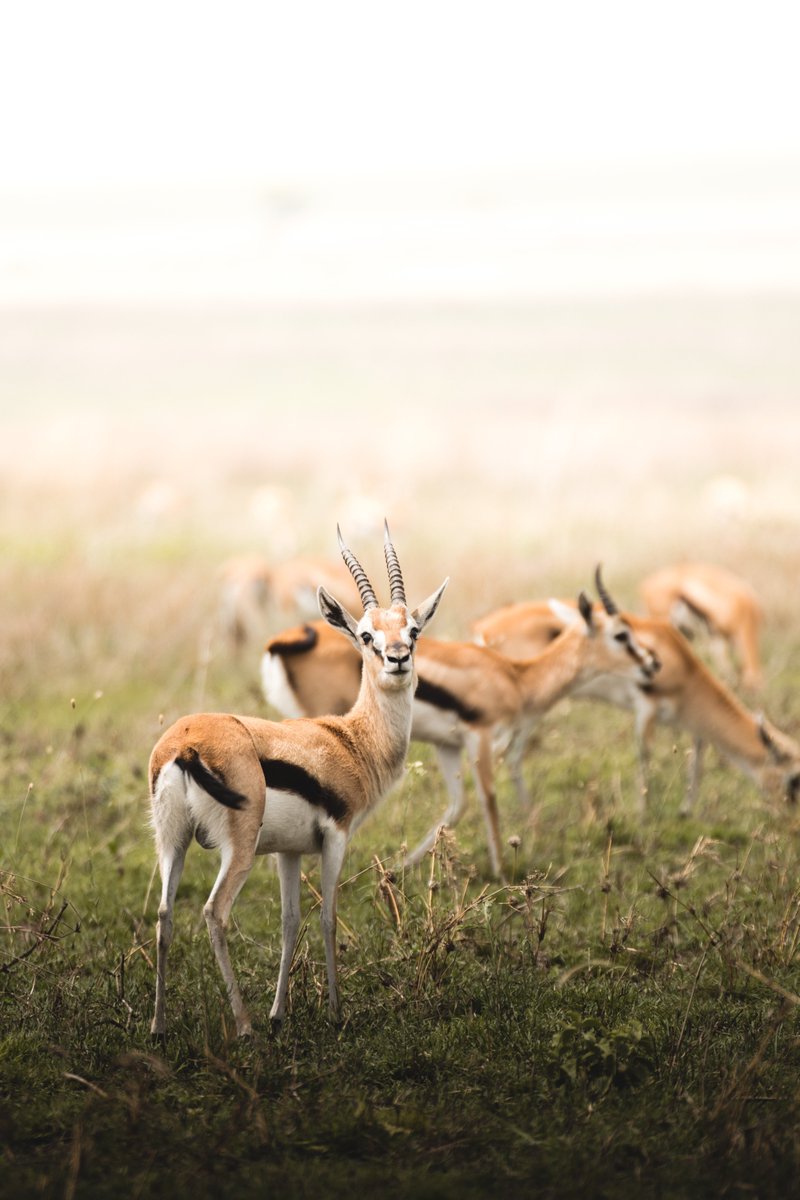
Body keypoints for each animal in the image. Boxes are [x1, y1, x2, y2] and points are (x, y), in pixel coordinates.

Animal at [149, 524, 448, 1038]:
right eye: (366, 634)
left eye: (412, 629)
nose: (397, 658)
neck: (351, 741)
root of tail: (186, 745)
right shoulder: (336, 836)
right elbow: (327, 916)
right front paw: (334, 1012)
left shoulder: (286, 852)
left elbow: (289, 922)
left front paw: (279, 1013)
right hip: (237, 850)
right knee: (214, 912)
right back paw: (243, 1025)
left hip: (174, 841)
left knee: (165, 915)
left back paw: (159, 1026)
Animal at [262, 569, 660, 876]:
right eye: (622, 634)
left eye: (414, 631)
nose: (652, 663)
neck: (515, 677)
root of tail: (284, 640)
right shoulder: (480, 737)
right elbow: (488, 799)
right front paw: (501, 872)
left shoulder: (447, 745)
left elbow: (458, 806)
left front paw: (398, 869)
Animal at [473, 590, 800, 816]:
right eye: (794, 779)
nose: (789, 817)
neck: (684, 667)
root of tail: (484, 628)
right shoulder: (647, 707)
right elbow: (645, 755)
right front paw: (643, 815)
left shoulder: (684, 718)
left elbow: (699, 751)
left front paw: (686, 811)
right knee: (502, 755)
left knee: (509, 757)